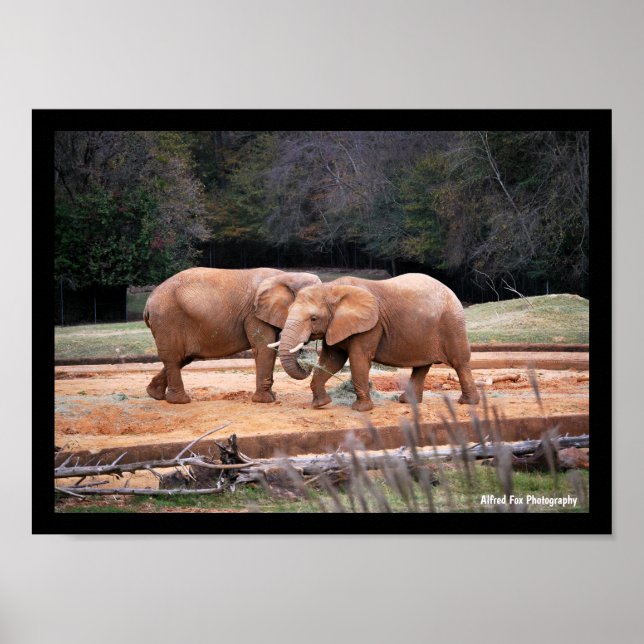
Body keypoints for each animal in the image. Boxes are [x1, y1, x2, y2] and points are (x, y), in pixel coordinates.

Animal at [143, 267, 320, 403]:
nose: (307, 360)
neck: (287, 275)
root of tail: (148, 303)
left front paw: (271, 397)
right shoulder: (253, 315)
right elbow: (264, 349)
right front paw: (266, 400)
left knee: (183, 358)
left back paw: (154, 395)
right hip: (167, 321)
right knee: (174, 358)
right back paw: (180, 401)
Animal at [273, 273, 480, 411]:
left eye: (313, 319)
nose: (304, 363)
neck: (331, 288)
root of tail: (452, 292)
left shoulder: (371, 325)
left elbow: (358, 359)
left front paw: (360, 409)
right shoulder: (336, 325)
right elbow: (331, 360)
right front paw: (320, 404)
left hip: (452, 323)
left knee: (460, 362)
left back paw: (468, 403)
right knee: (421, 366)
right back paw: (406, 402)